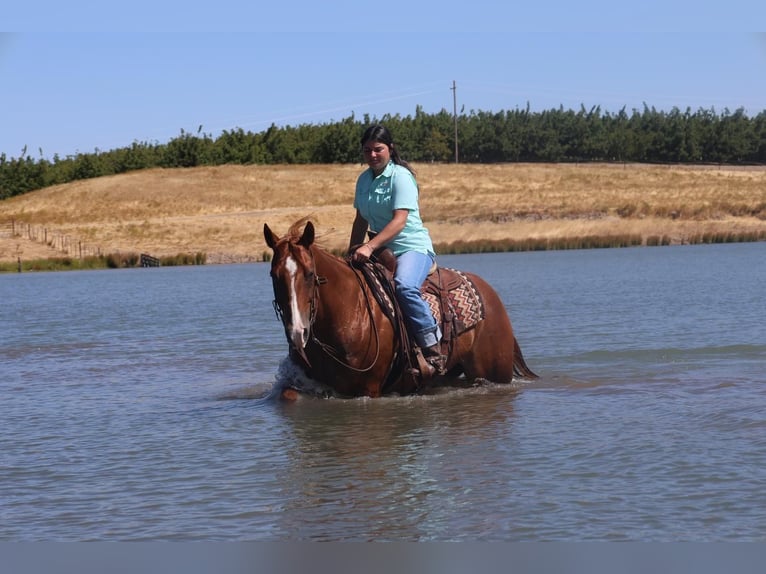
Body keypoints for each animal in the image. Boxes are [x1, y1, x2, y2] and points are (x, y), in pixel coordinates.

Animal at [260, 217, 536, 400]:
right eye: (274, 275)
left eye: (309, 274)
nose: (298, 333)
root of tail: (490, 294)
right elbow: (287, 396)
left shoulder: (368, 389)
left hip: (492, 373)